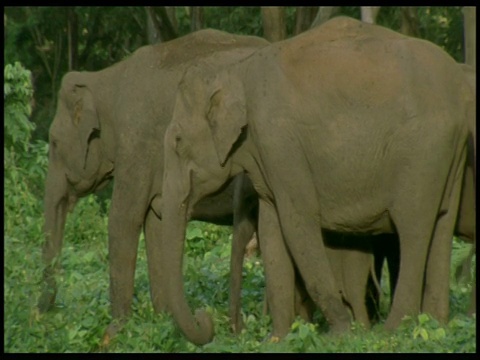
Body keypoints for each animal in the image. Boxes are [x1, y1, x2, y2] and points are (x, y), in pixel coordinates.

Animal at [39, 29, 268, 342]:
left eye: (53, 143)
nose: (42, 314)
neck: (104, 79)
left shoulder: (136, 143)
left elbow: (123, 219)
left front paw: (115, 332)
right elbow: (155, 224)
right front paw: (163, 321)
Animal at [158, 17, 472, 346]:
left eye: (178, 142)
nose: (206, 319)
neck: (234, 71)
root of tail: (461, 94)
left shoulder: (280, 143)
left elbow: (298, 222)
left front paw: (340, 333)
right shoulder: (268, 159)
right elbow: (272, 230)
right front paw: (279, 339)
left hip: (422, 155)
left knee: (413, 228)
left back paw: (394, 330)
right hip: (449, 156)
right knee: (441, 225)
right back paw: (435, 325)